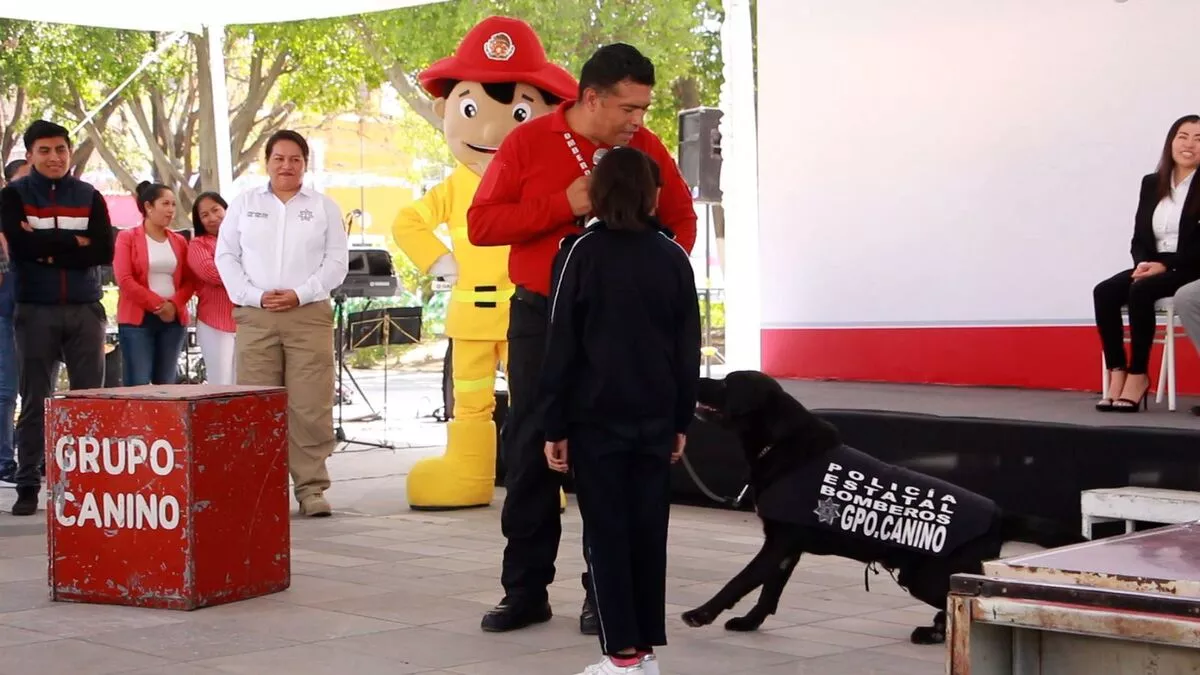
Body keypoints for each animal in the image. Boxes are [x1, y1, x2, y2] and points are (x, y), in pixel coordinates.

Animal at [681, 372, 1084, 638]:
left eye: (727, 383)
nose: (696, 376)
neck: (782, 442)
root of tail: (1000, 514)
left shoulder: (777, 544)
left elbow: (740, 581)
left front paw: (701, 614)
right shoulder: (786, 548)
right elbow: (768, 591)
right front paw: (749, 623)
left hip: (927, 577)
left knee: (962, 597)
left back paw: (938, 631)